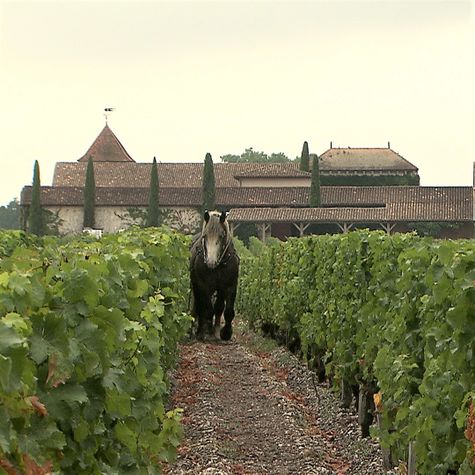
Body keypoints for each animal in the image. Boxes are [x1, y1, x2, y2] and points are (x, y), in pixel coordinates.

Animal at [190, 212, 240, 342]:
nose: (210, 262)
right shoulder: (203, 285)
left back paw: (215, 331)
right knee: (200, 306)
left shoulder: (230, 286)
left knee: (218, 307)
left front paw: (226, 333)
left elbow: (227, 311)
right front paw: (207, 332)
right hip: (196, 286)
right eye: (205, 236)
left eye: (222, 236)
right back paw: (200, 331)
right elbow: (208, 309)